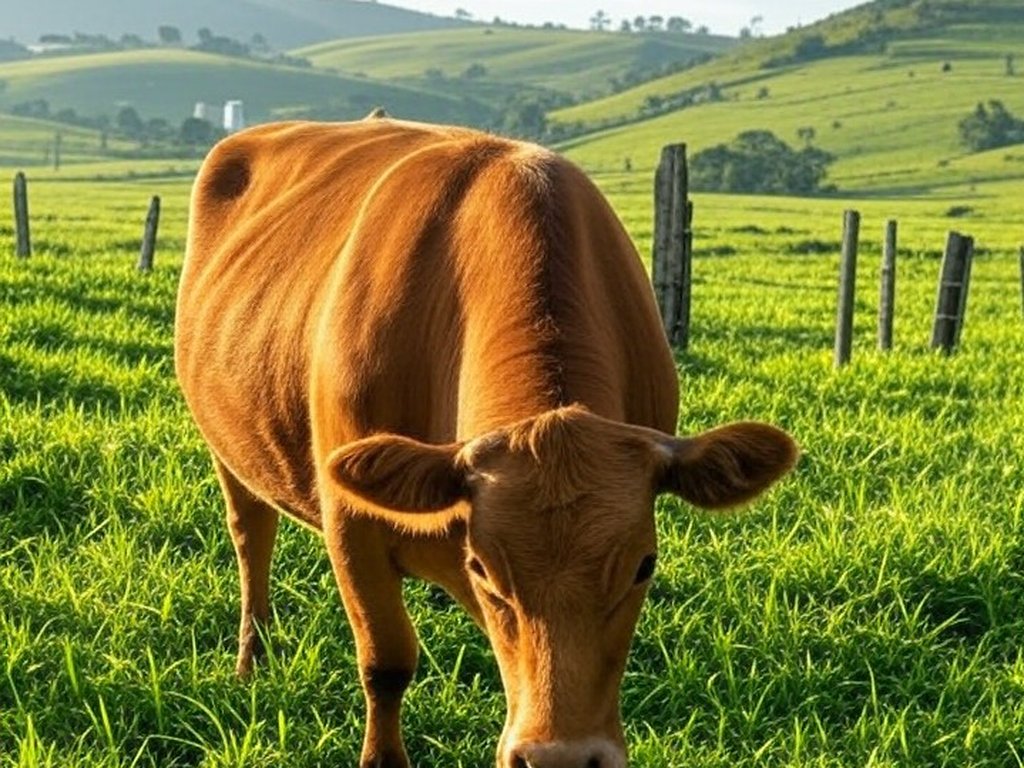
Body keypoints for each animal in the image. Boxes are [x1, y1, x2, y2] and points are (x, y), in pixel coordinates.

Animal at [174, 116, 798, 768]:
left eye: (644, 566)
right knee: (252, 538)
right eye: (482, 564)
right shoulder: (352, 525)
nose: (561, 758)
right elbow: (386, 663)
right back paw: (253, 659)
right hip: (229, 450)